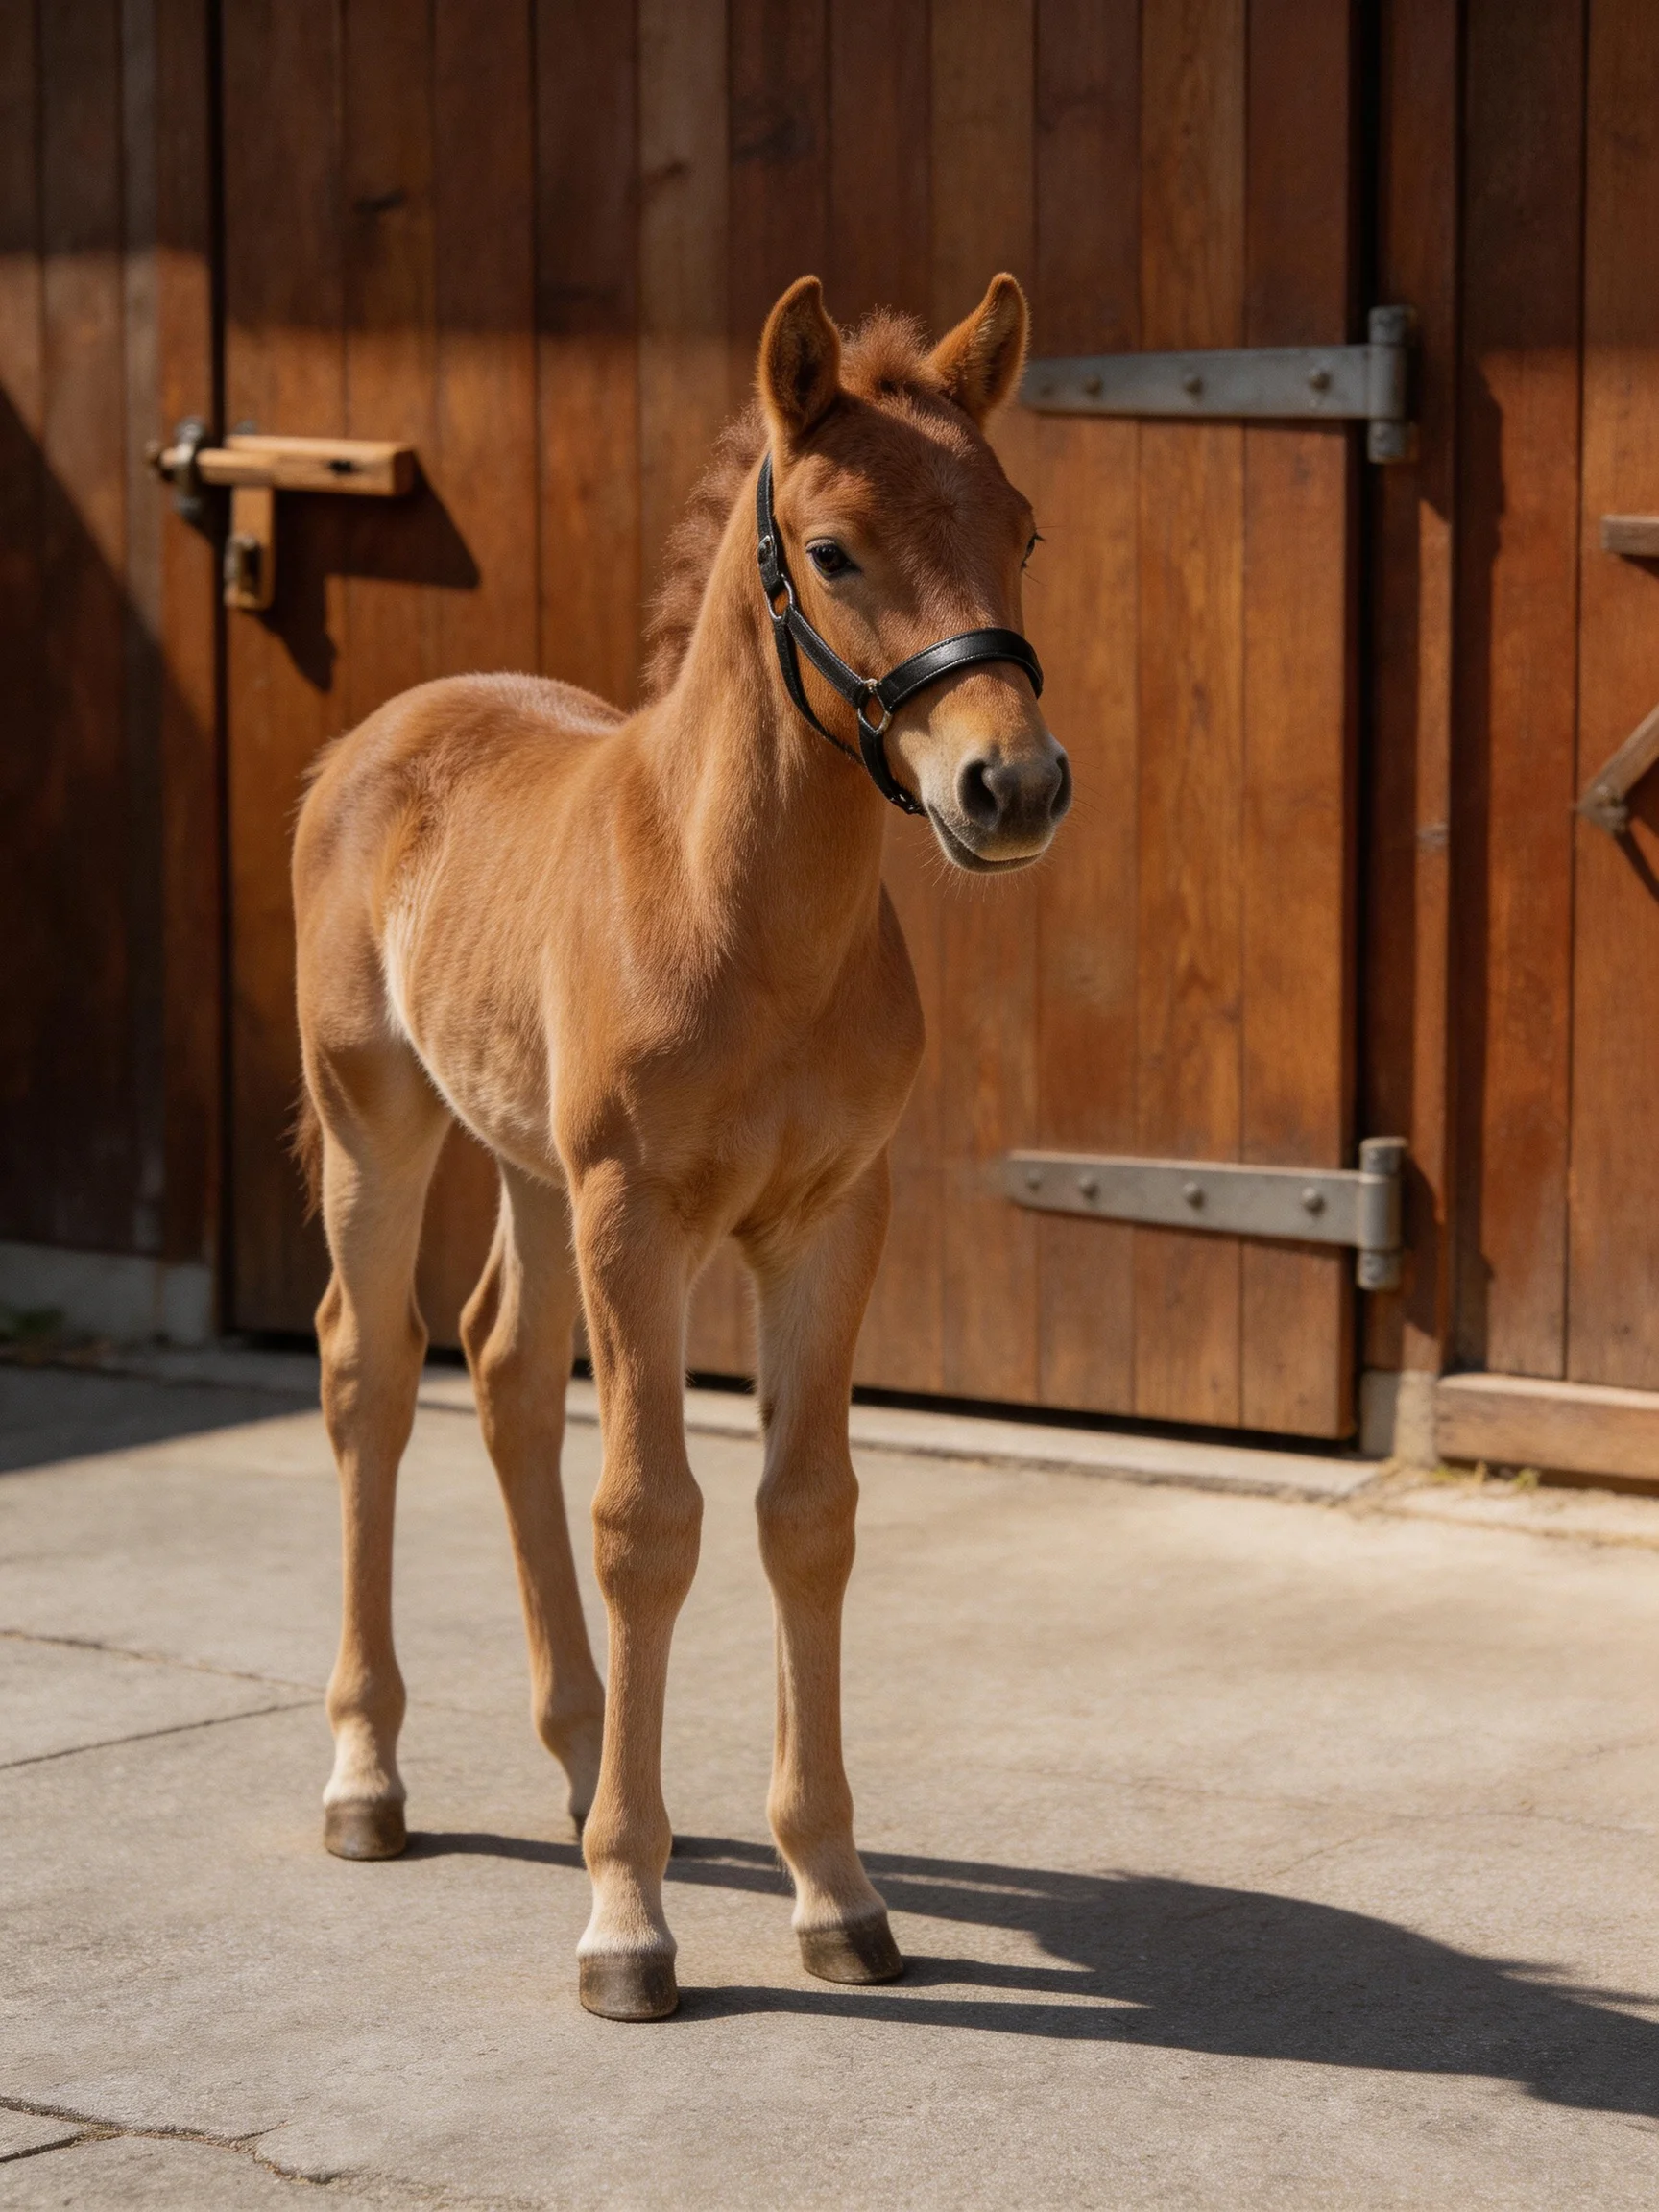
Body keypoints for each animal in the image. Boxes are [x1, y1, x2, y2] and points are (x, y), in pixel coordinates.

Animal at [291, 271, 1071, 2020]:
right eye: (834, 550)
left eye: (1021, 526)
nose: (1011, 784)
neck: (741, 910)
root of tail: (383, 730)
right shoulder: (639, 1214)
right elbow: (648, 1522)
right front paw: (626, 1926)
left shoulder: (829, 1219)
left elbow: (806, 1513)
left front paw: (834, 1892)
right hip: (380, 1119)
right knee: (368, 1371)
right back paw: (369, 1779)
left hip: (525, 1160)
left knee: (505, 1369)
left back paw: (589, 1766)